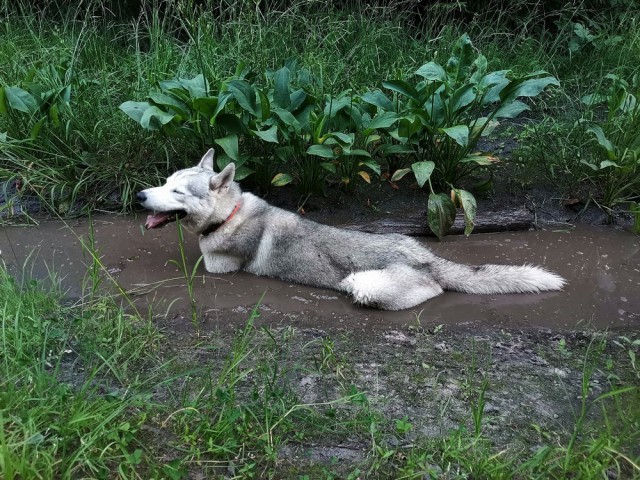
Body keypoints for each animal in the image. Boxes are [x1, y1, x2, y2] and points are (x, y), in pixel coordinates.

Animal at [136, 148, 564, 310]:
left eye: (176, 191)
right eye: (164, 182)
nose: (140, 196)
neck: (231, 213)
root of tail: (427, 257)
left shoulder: (216, 266)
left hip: (363, 283)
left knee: (433, 290)